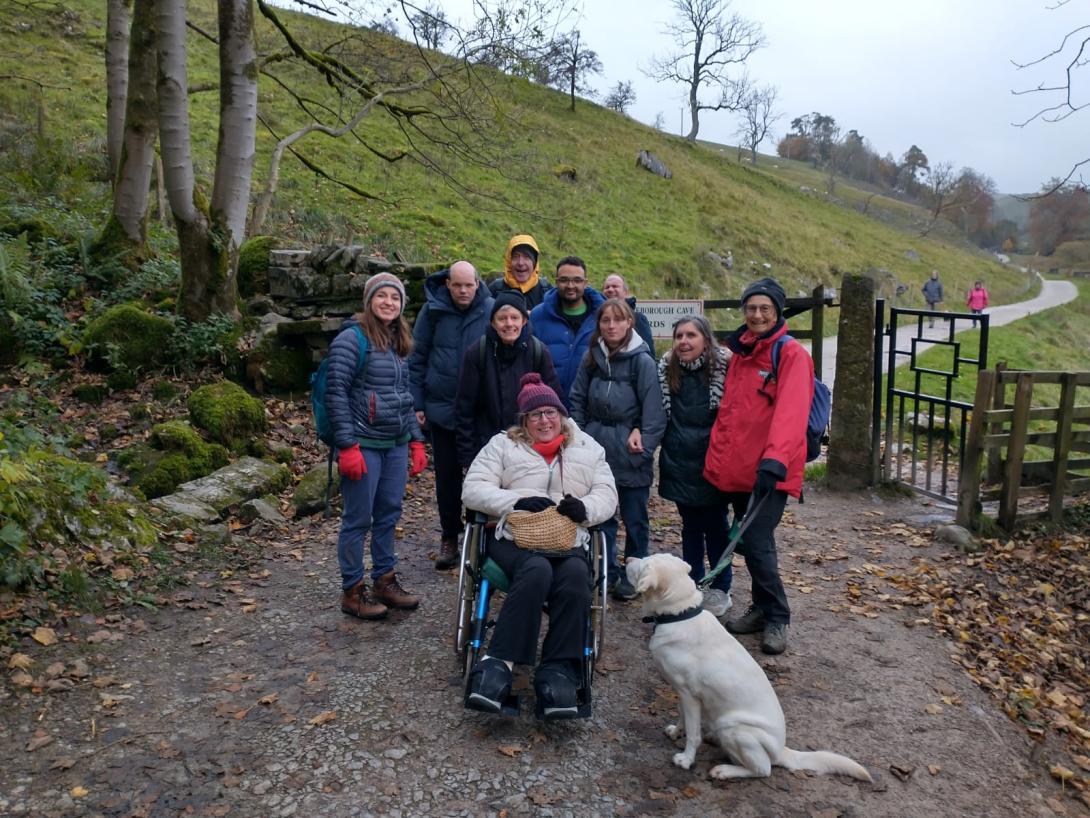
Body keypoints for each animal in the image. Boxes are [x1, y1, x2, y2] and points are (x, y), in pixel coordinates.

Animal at [627, 554, 872, 785]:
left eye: (642, 563)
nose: (628, 558)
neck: (679, 615)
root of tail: (781, 750)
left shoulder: (690, 695)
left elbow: (694, 735)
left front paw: (686, 759)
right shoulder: (682, 692)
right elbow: (683, 719)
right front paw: (677, 732)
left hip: (735, 728)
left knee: (764, 770)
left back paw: (725, 771)